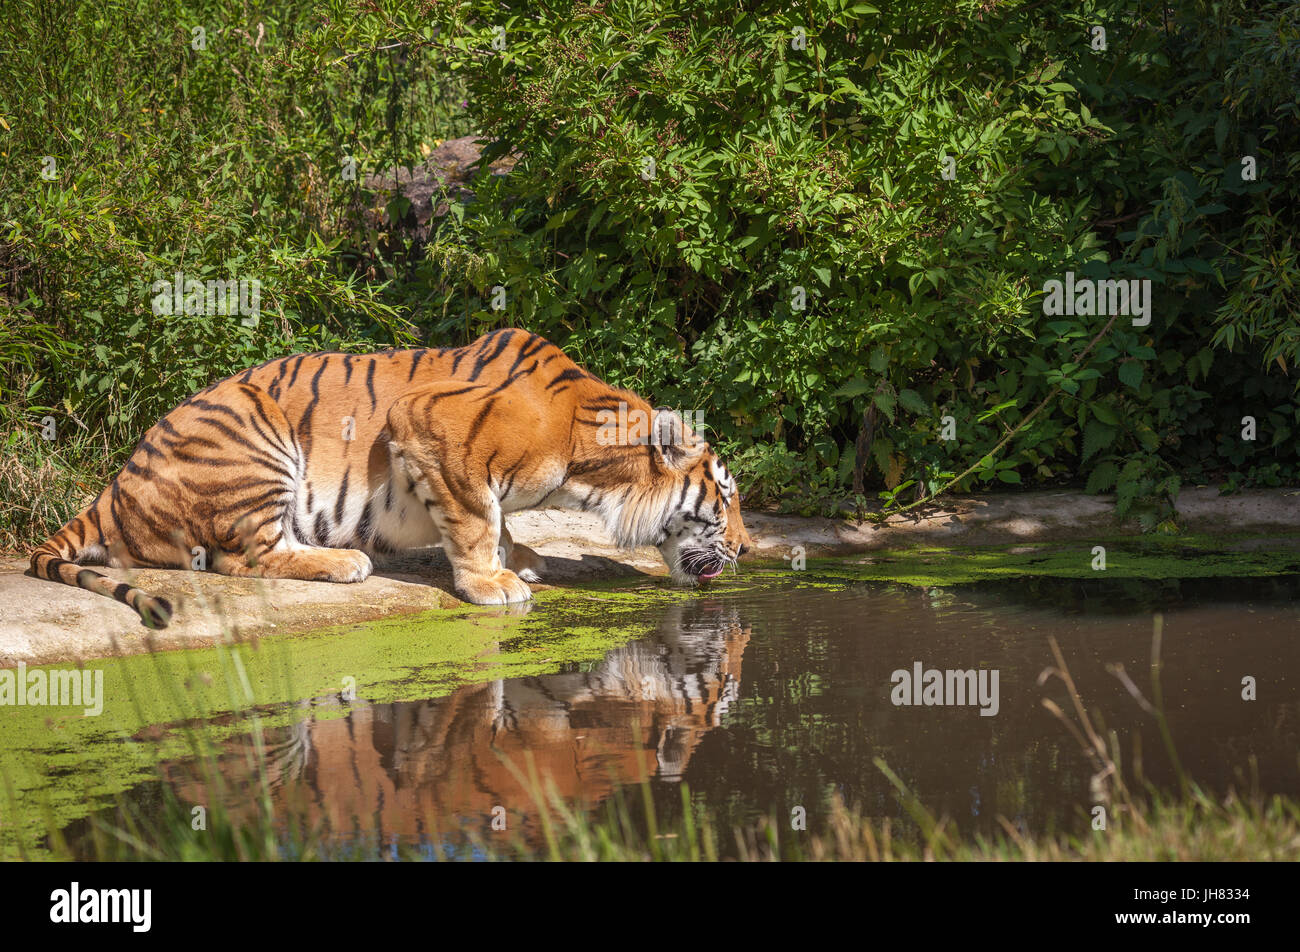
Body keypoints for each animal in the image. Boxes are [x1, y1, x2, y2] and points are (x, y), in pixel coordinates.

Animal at [30, 330, 754, 629]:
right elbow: (475, 518)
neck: (591, 470)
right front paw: (492, 582)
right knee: (245, 556)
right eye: (725, 497)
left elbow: (500, 518)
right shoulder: (431, 423)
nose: (748, 549)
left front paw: (520, 557)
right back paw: (341, 561)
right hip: (255, 431)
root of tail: (111, 488)